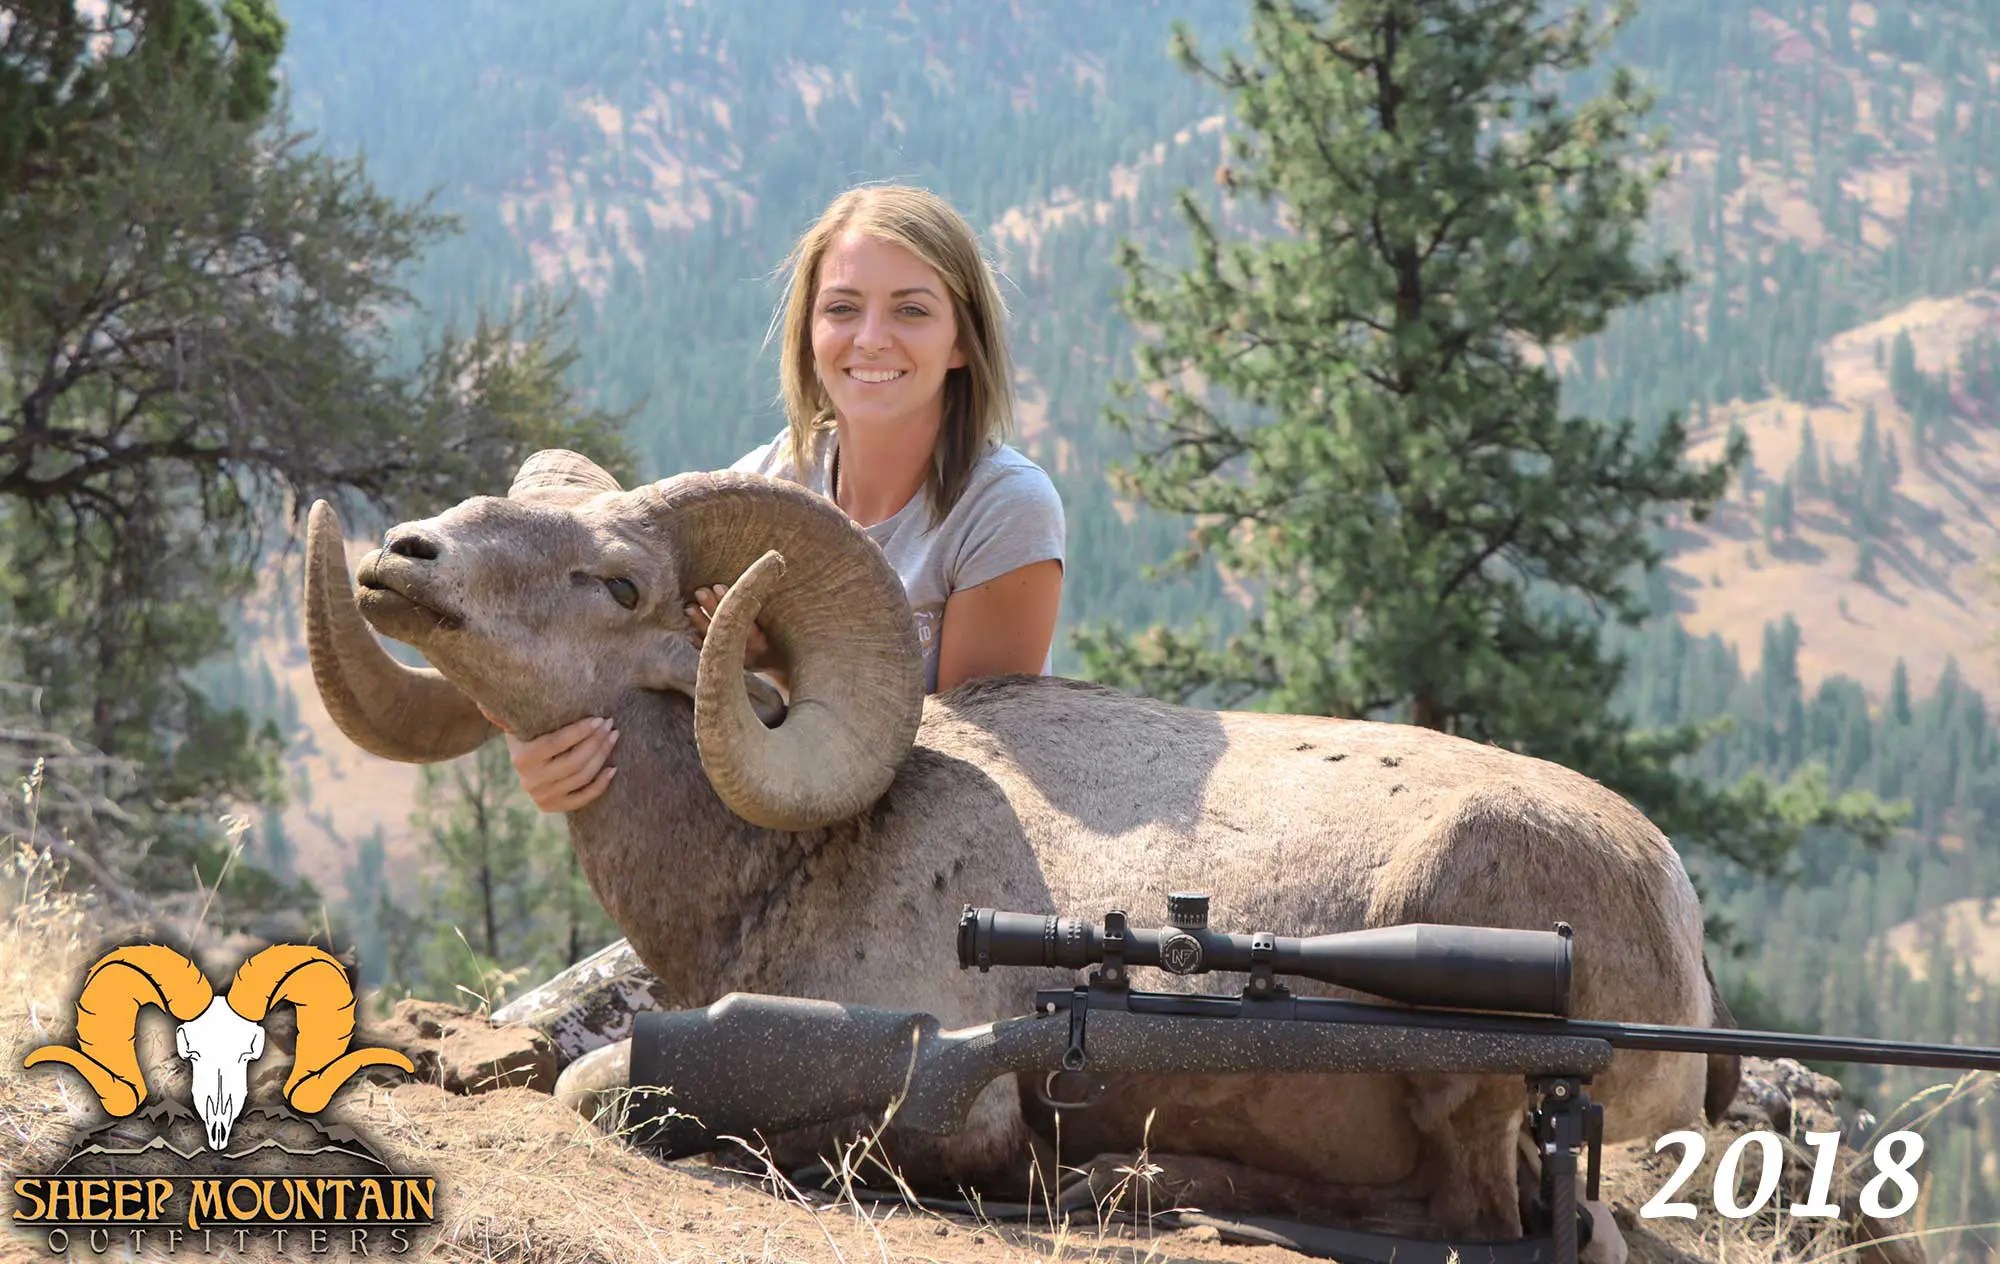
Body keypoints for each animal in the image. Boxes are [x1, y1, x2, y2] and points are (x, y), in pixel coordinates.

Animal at [301, 448, 1737, 1258]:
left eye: (618, 584)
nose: (402, 558)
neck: (792, 862)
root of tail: (1680, 930)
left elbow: (592, 1086)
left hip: (1471, 1072)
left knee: (1464, 1218)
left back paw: (1136, 1182)